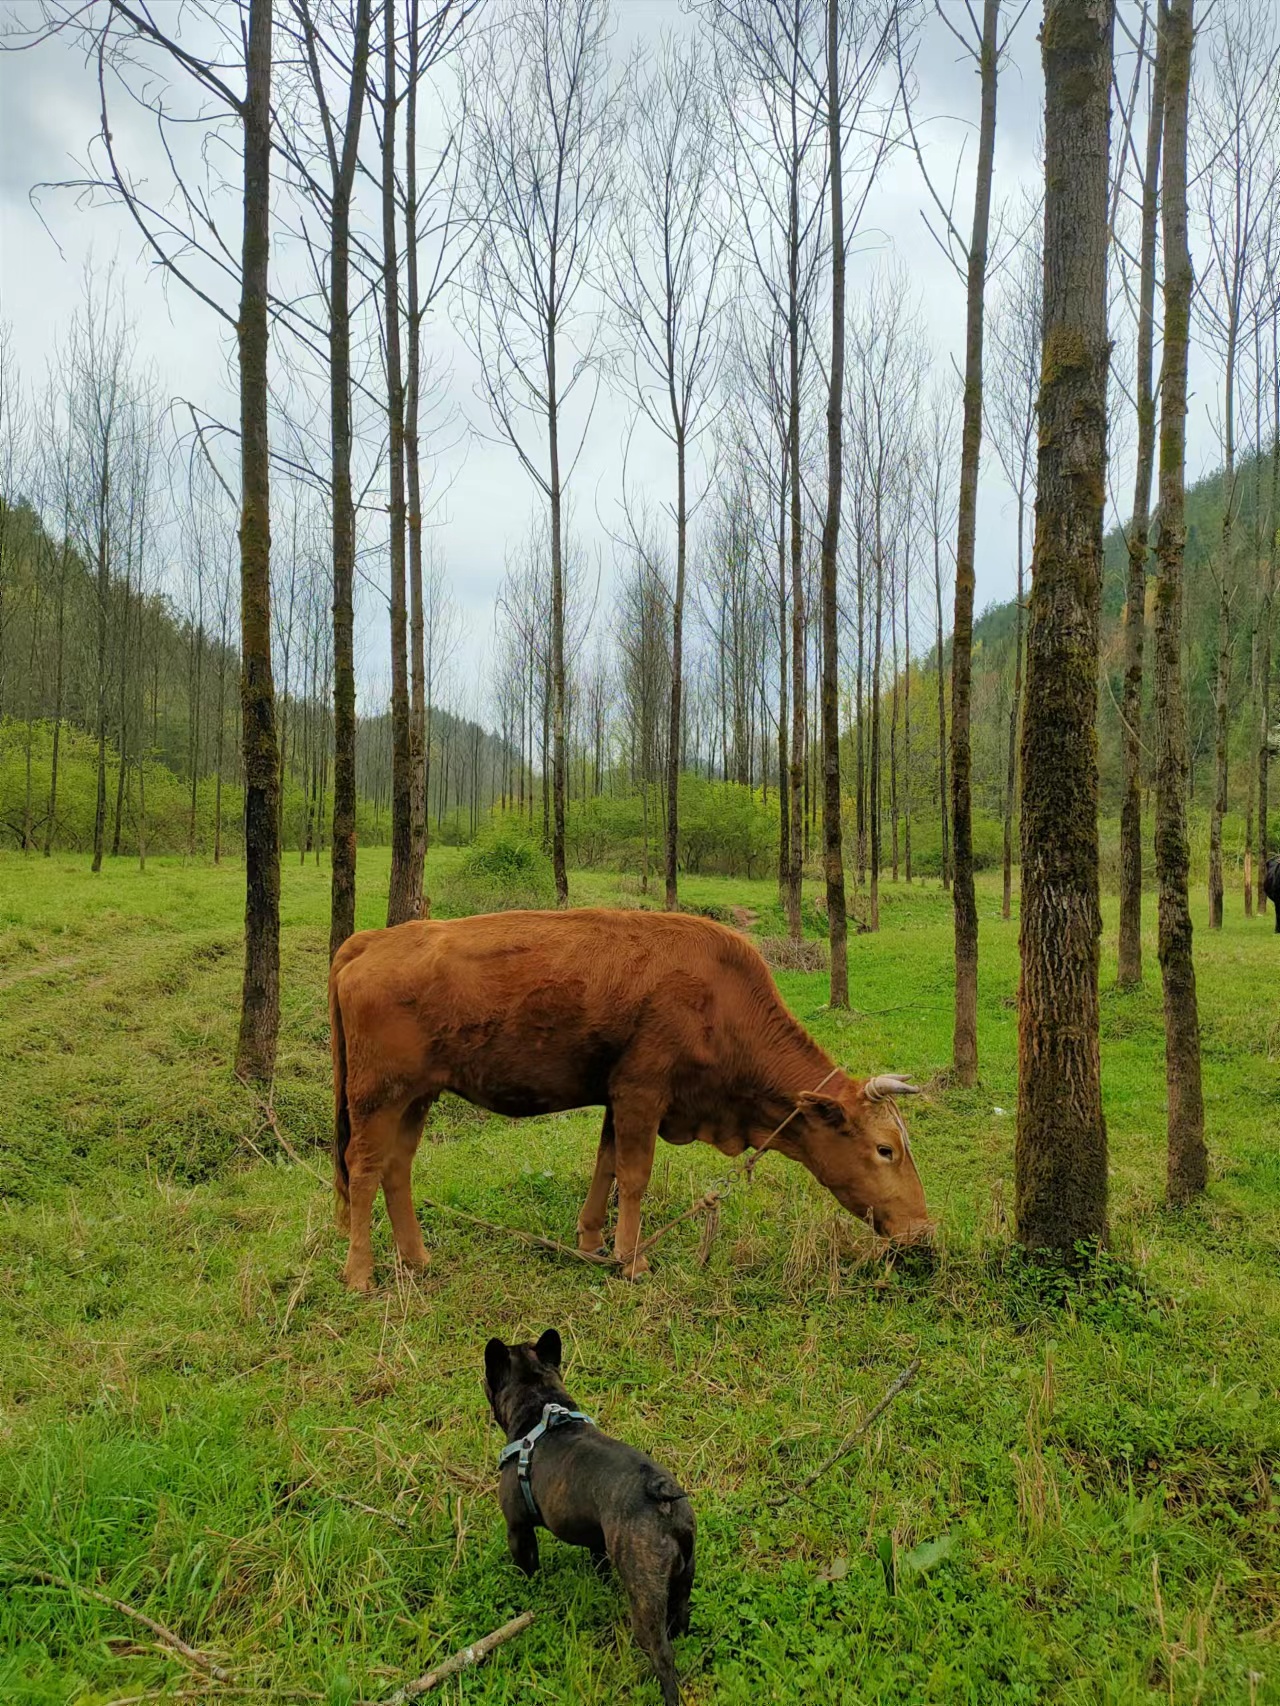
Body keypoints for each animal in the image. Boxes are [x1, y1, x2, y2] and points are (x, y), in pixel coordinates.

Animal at [331, 907, 935, 1289]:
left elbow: (606, 1167)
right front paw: (631, 1260)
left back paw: (417, 1258)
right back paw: (360, 1273)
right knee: (362, 1169)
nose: (923, 1232)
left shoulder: (616, 1098)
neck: (721, 1003)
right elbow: (635, 1176)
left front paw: (593, 1243)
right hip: (376, 1096)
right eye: (885, 1149)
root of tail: (374, 940)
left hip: (416, 1097)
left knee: (397, 1168)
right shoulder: (642, 1093)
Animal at [484, 1330, 696, 1706]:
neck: (539, 1406)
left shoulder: (518, 1530)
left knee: (661, 1654)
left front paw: (528, 1591)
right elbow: (598, 1561)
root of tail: (662, 1492)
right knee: (681, 1613)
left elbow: (528, 1568)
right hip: (684, 1573)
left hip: (644, 1595)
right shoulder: (595, 1536)